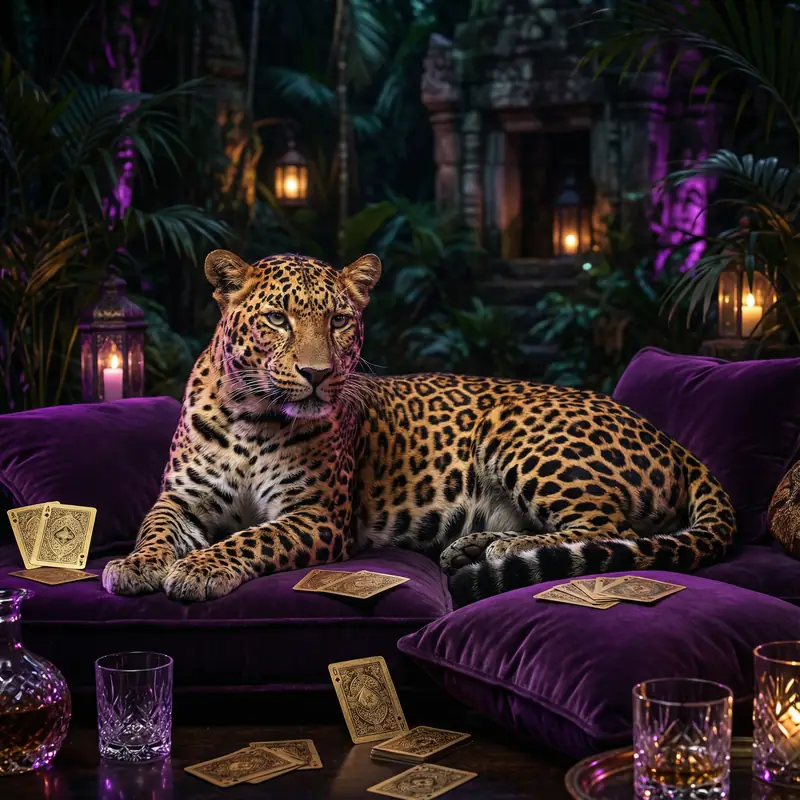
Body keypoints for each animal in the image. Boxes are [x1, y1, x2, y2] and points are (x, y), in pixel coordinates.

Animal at [102, 249, 736, 606]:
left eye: (339, 320)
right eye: (277, 319)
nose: (317, 374)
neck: (253, 419)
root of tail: (673, 442)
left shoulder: (316, 515)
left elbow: (251, 537)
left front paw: (199, 568)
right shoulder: (181, 501)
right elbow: (155, 530)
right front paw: (135, 565)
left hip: (518, 431)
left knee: (606, 531)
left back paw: (497, 551)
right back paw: (476, 546)